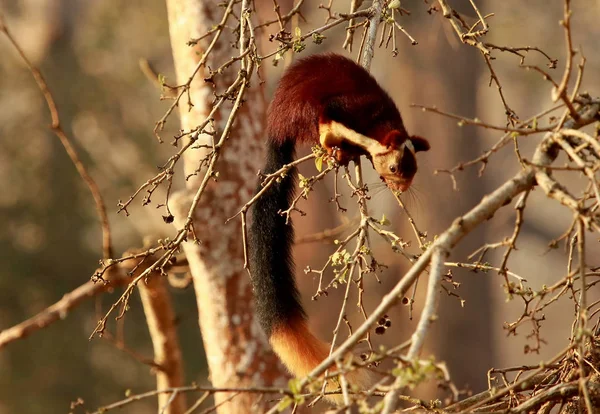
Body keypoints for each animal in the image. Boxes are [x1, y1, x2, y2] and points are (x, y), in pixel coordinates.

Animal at [248, 53, 432, 402]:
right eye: (394, 168)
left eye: (415, 170)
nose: (402, 189)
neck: (376, 125)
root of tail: (276, 127)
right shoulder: (339, 110)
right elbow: (328, 124)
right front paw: (336, 149)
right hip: (301, 113)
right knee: (313, 129)